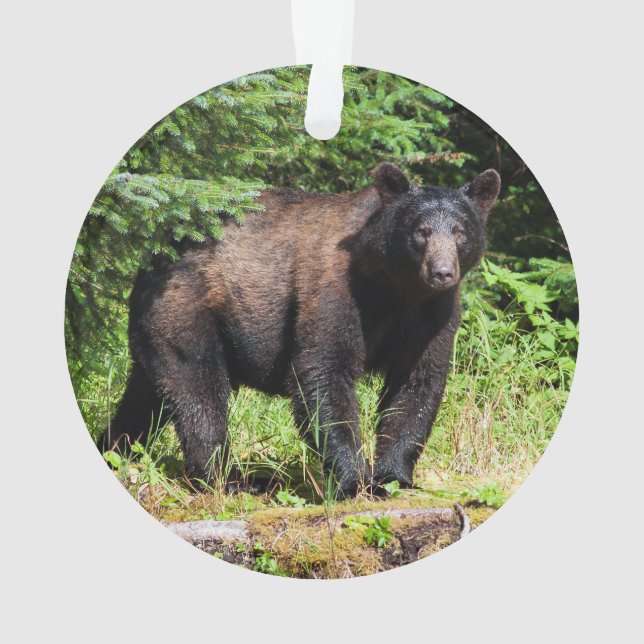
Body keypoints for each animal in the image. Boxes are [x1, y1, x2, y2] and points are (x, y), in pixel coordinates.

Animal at [103, 163, 500, 498]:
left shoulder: (432, 314)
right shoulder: (337, 289)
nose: (442, 271)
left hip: (158, 328)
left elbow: (417, 383)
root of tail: (154, 255)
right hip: (188, 308)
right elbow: (324, 370)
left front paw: (393, 477)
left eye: (460, 231)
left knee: (146, 396)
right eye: (421, 231)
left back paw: (115, 447)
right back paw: (226, 479)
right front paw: (353, 481)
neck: (395, 287)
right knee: (198, 390)